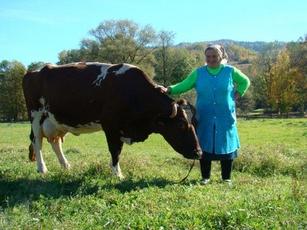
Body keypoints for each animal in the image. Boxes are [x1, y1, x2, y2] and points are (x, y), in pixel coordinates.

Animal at [22, 62, 203, 178]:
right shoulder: (111, 126)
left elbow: (117, 150)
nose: (199, 152)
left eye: (194, 123)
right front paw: (117, 174)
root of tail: (34, 71)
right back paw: (42, 168)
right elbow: (115, 150)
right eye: (181, 124)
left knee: (55, 142)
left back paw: (66, 165)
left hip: (55, 121)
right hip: (35, 115)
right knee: (37, 141)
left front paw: (114, 170)